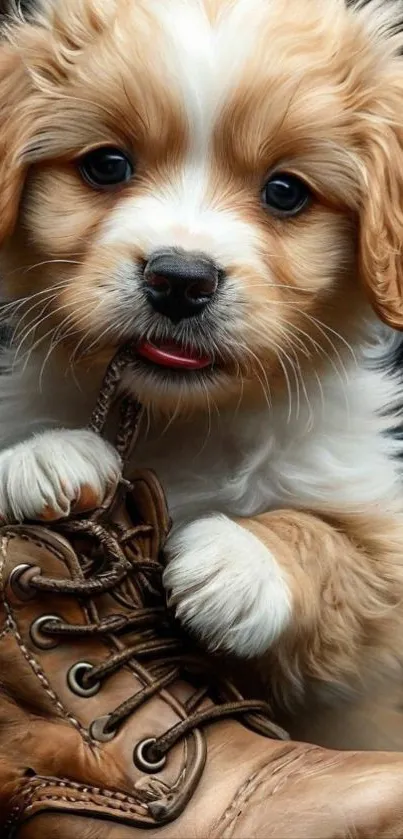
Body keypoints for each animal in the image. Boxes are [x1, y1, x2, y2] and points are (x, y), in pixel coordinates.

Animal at [0, 0, 403, 712]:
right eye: (107, 165)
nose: (181, 280)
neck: (183, 420)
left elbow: (338, 545)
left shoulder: (375, 537)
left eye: (285, 192)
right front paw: (46, 454)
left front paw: (238, 561)